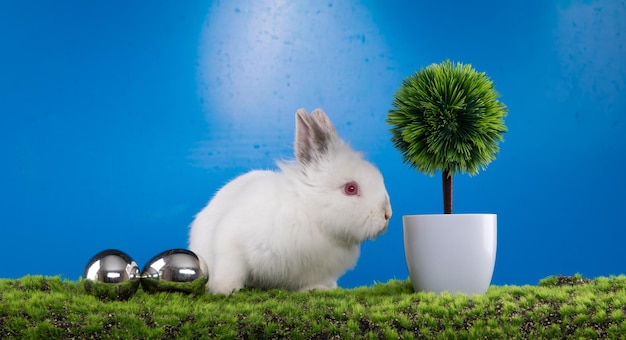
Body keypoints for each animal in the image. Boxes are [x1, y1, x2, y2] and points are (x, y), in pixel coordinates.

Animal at [188, 109, 390, 294]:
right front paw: (224, 290)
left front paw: (318, 290)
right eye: (351, 188)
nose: (387, 214)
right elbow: (230, 270)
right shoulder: (232, 244)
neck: (311, 215)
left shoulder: (318, 270)